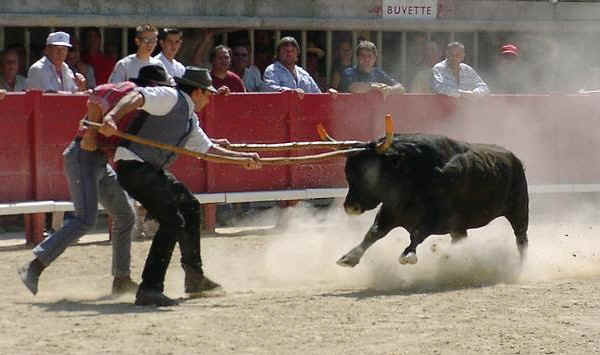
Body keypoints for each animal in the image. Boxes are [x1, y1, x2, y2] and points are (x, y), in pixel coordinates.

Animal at [340, 134, 528, 268]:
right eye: (348, 174)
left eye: (370, 173)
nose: (350, 207)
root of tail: (514, 158)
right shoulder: (390, 211)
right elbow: (373, 232)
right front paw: (349, 257)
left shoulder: (437, 219)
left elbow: (417, 233)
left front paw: (408, 254)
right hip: (459, 227)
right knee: (460, 239)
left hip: (519, 210)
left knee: (521, 239)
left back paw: (521, 266)